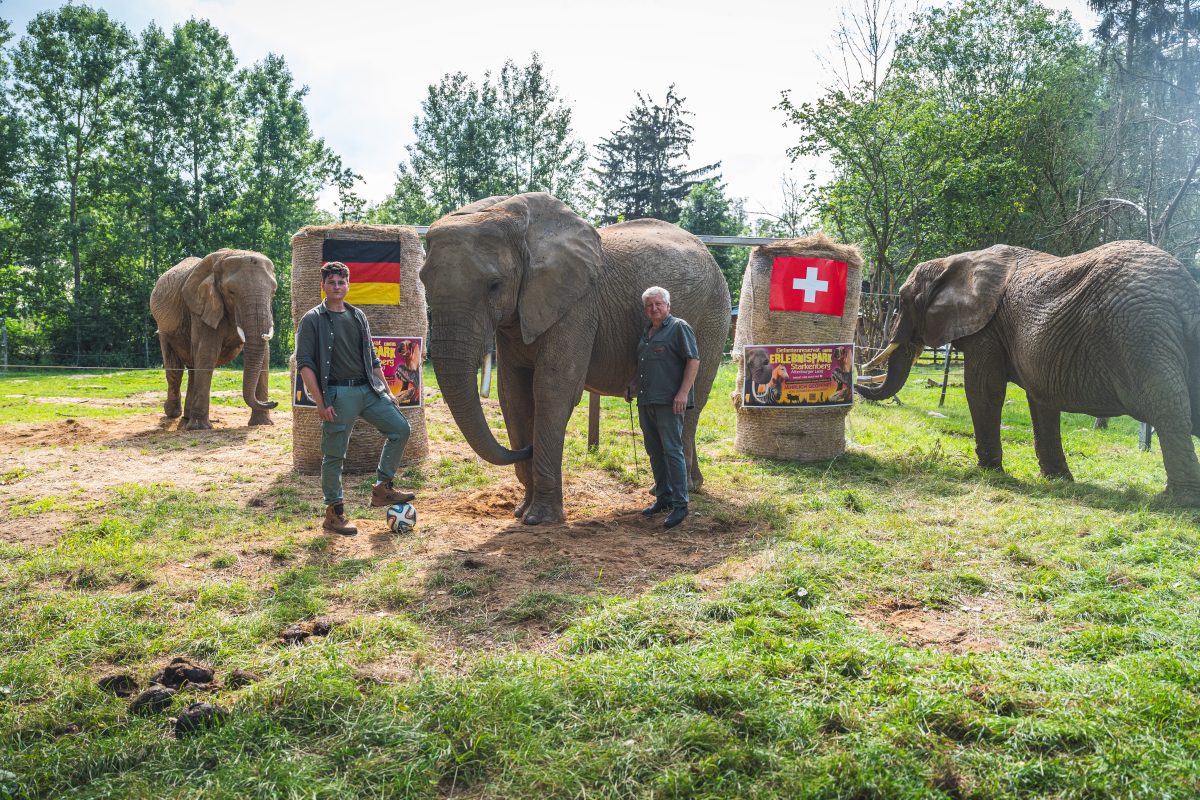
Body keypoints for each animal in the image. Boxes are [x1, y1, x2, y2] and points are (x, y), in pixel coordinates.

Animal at [150, 250, 278, 431]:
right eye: (231, 292)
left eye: (273, 292)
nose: (273, 402)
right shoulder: (201, 308)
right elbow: (207, 353)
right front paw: (200, 428)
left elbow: (265, 357)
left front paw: (262, 423)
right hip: (164, 328)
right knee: (175, 370)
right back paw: (173, 413)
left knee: (192, 366)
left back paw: (187, 417)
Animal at [422, 191, 729, 525]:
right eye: (423, 281)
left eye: (494, 284)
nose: (526, 449)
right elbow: (513, 394)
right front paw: (520, 511)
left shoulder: (578, 306)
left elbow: (552, 389)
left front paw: (539, 519)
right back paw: (685, 487)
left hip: (713, 316)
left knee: (691, 402)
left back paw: (679, 491)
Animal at [854, 239, 1200, 501]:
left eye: (902, 301)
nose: (857, 379)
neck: (957, 261)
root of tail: (1186, 291)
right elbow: (1041, 400)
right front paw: (1058, 480)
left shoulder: (988, 329)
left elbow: (984, 390)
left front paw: (988, 471)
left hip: (1139, 332)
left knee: (1165, 409)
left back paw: (1175, 500)